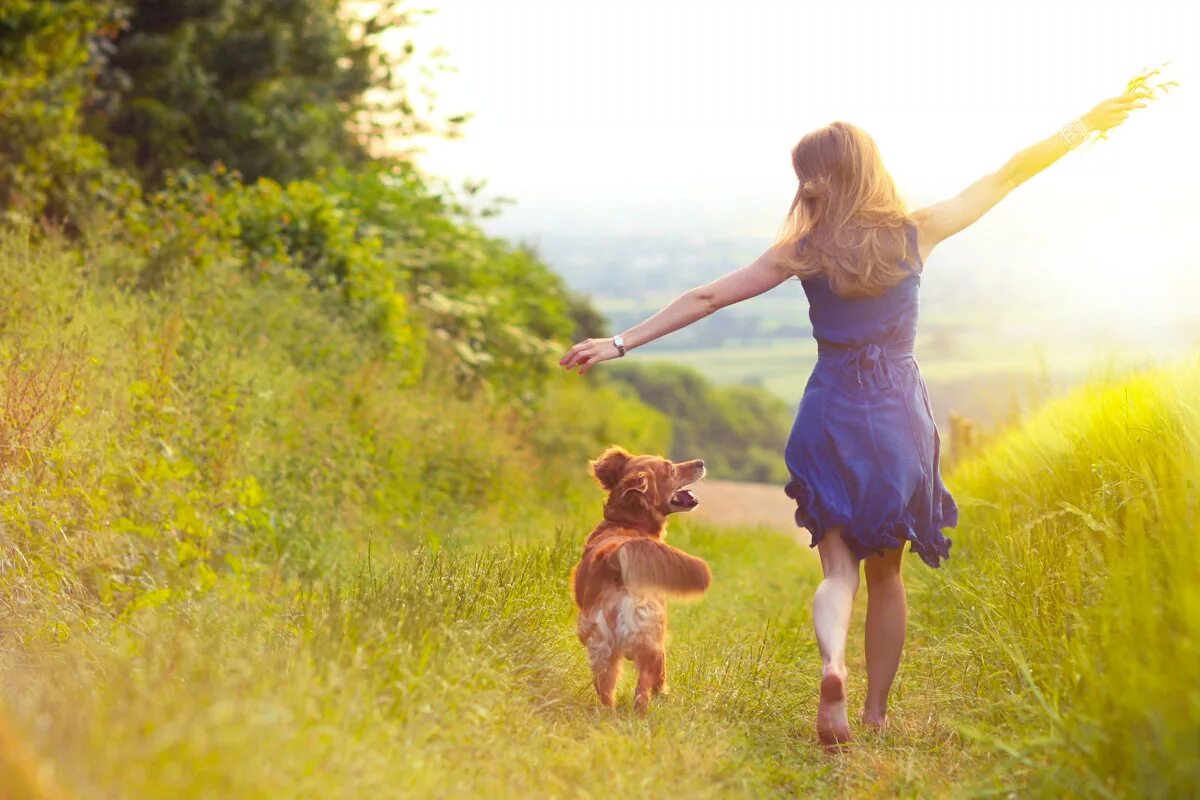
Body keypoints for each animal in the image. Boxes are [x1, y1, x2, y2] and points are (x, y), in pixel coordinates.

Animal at [571, 448, 710, 714]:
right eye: (671, 468)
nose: (701, 461)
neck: (628, 524)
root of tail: (615, 556)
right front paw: (663, 693)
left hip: (602, 647)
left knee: (609, 692)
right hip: (653, 635)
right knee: (643, 692)